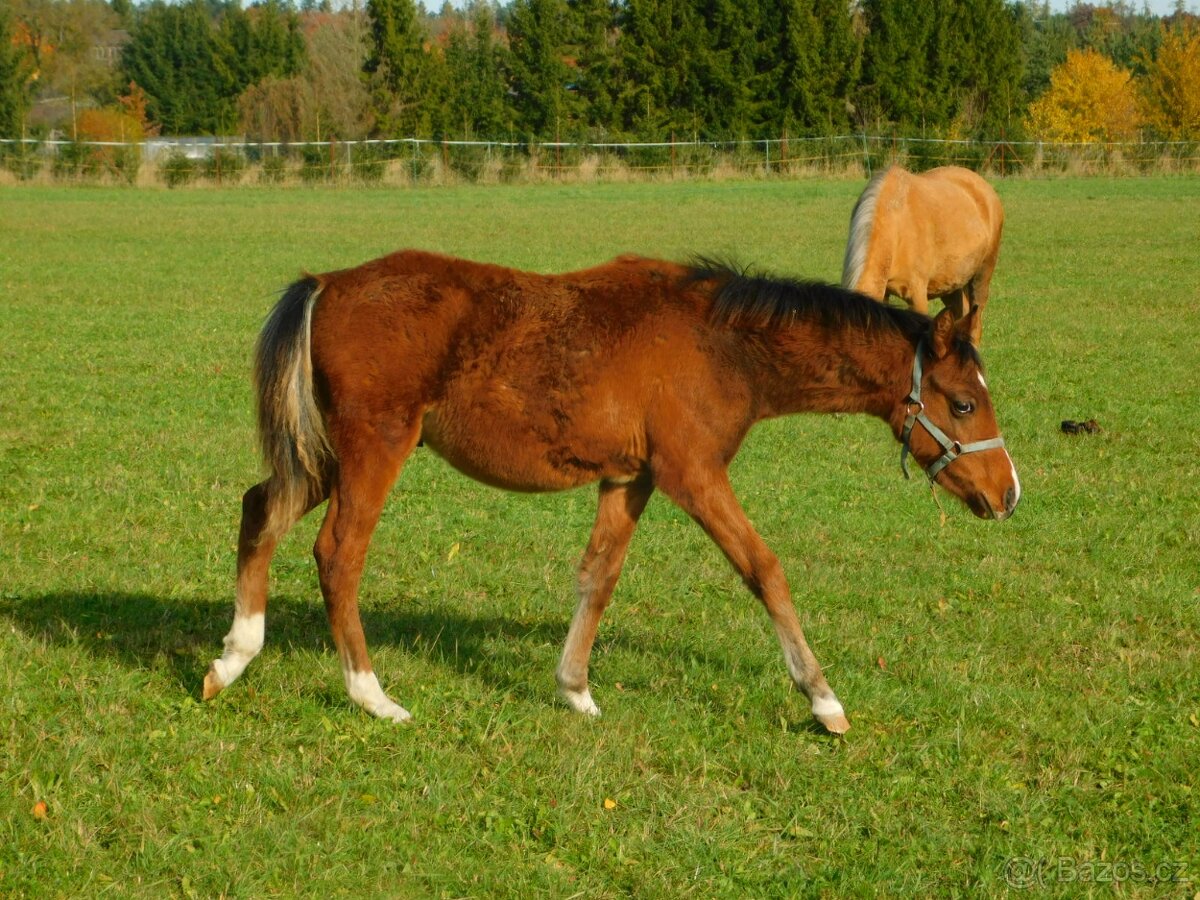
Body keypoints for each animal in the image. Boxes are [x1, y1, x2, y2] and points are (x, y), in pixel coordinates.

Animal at [203, 249, 1020, 735]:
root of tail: (329, 283)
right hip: (375, 448)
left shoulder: (632, 477)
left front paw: (575, 688)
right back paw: (372, 695)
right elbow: (764, 569)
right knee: (338, 552)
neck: (720, 342)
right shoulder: (694, 473)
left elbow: (599, 575)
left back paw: (233, 658)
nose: (1008, 494)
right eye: (963, 404)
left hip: (325, 454)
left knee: (259, 510)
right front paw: (823, 701)